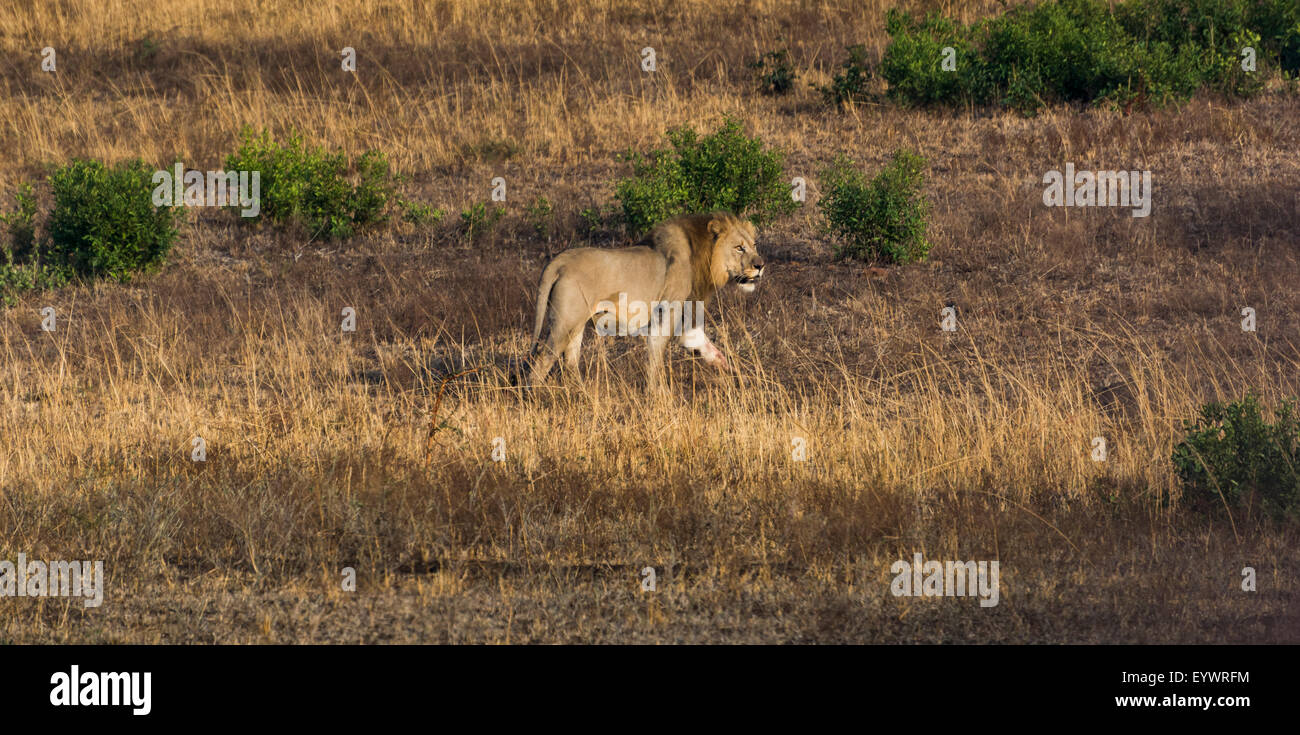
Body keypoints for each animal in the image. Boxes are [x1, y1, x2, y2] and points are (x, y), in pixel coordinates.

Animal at [525, 211, 765, 386]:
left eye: (754, 245)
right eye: (739, 247)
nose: (761, 265)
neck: (702, 258)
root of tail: (559, 261)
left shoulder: (686, 320)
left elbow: (708, 349)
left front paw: (742, 375)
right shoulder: (665, 315)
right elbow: (655, 359)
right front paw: (658, 394)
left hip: (576, 326)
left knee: (570, 362)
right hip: (565, 323)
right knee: (541, 361)